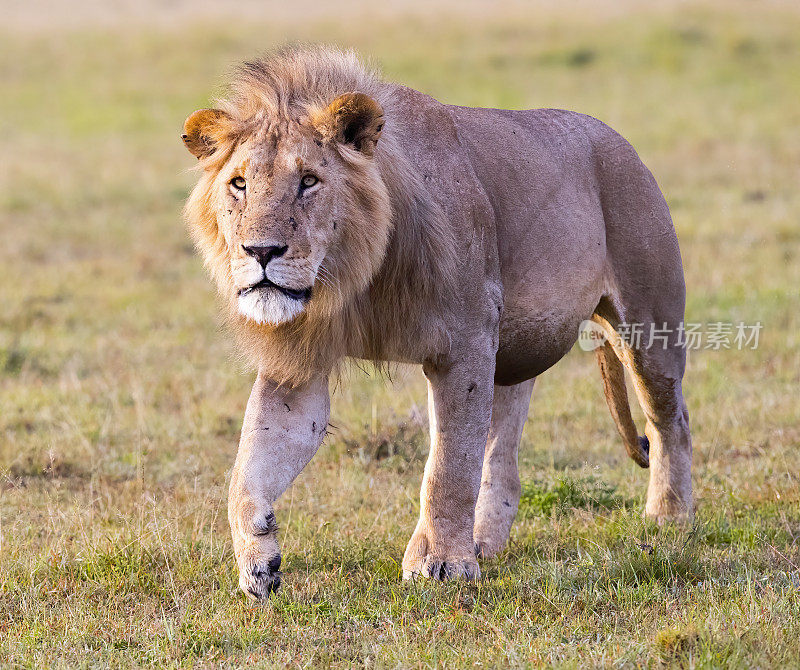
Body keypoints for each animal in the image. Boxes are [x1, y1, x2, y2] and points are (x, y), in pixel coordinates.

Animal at [183, 48, 692, 604]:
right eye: (239, 183)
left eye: (309, 181)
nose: (261, 252)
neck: (355, 276)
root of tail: (616, 138)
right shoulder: (301, 362)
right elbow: (247, 470)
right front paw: (258, 564)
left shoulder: (464, 344)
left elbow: (448, 467)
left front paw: (442, 564)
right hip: (510, 352)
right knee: (502, 456)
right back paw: (486, 543)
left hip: (648, 326)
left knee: (671, 420)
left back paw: (669, 518)